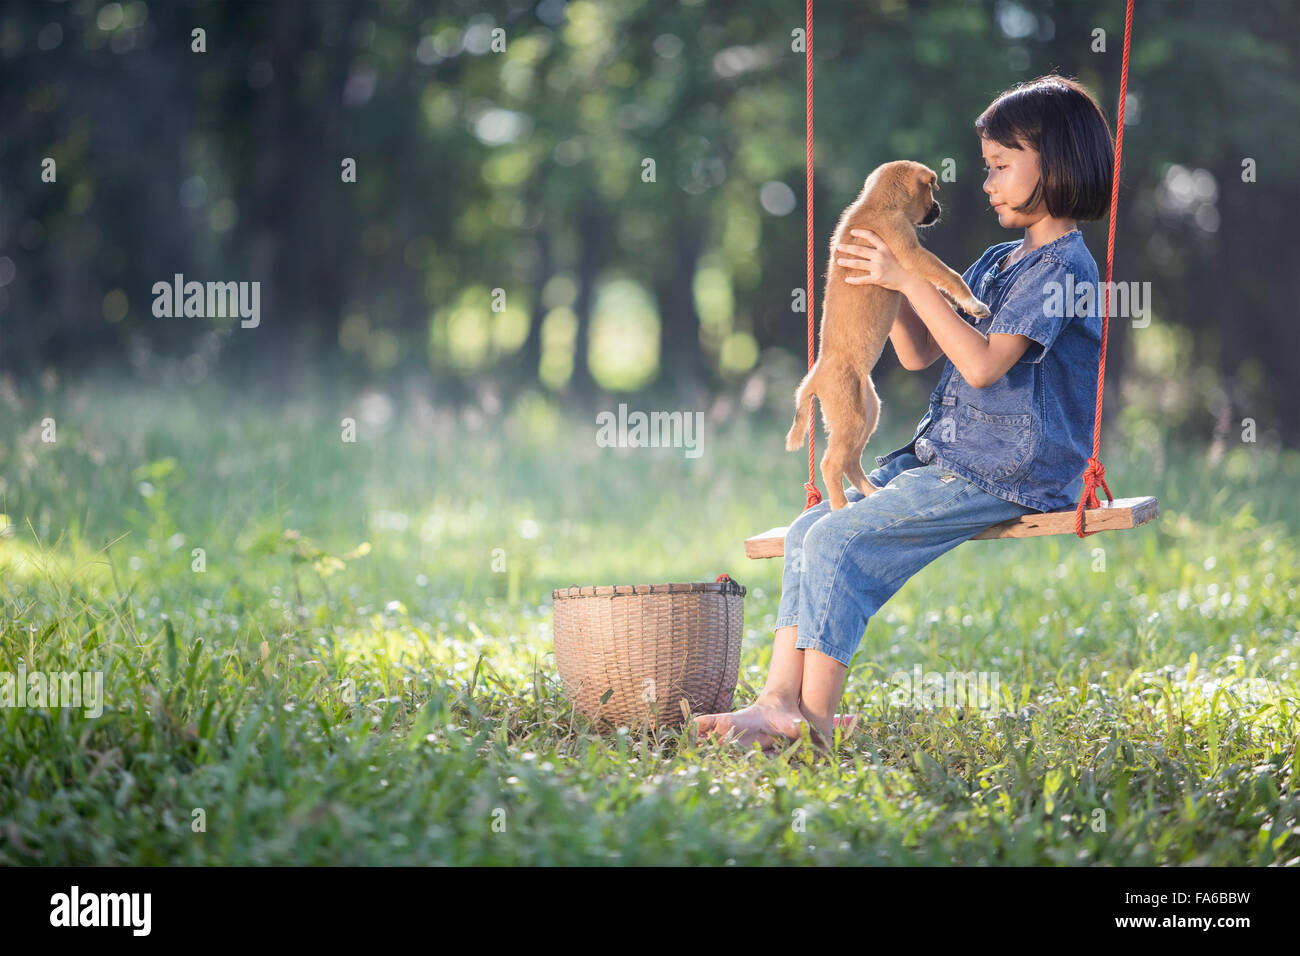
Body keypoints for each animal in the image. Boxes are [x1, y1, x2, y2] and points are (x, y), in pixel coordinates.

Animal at [785, 160, 987, 512]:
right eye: (932, 189)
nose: (938, 209)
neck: (877, 203)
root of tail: (815, 377)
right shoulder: (912, 253)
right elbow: (951, 276)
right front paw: (973, 303)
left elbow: (939, 288)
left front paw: (960, 305)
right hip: (852, 418)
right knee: (831, 463)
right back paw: (842, 507)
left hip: (867, 412)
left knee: (850, 462)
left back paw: (871, 493)